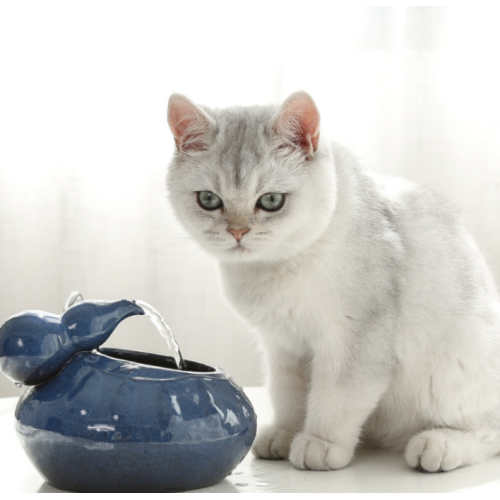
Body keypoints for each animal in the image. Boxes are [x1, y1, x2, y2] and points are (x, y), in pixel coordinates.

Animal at [166, 91, 500, 472]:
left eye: (271, 201)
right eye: (208, 200)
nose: (238, 232)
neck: (275, 269)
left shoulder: (354, 342)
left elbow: (335, 399)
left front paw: (319, 444)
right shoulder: (285, 346)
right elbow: (289, 397)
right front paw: (286, 434)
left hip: (453, 372)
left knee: (488, 432)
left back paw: (438, 445)